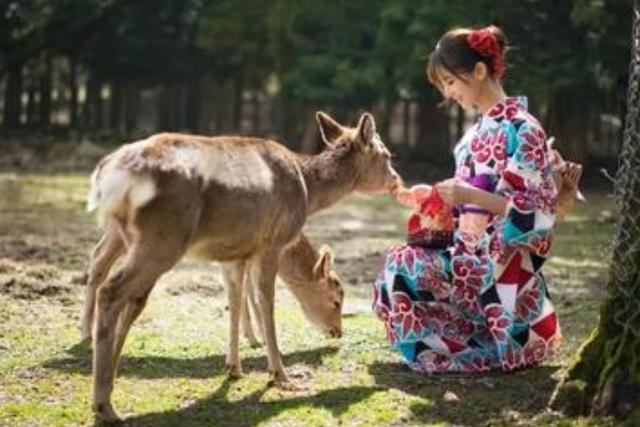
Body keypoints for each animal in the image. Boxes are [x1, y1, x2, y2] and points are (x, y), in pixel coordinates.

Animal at [82, 111, 398, 422]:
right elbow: (266, 302)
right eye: (387, 155)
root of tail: (110, 176)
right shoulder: (270, 243)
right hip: (162, 238)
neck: (306, 190)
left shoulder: (235, 254)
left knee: (126, 293)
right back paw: (103, 404)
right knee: (112, 290)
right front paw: (281, 375)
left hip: (131, 236)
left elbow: (234, 301)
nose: (396, 180)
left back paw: (107, 382)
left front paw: (234, 367)